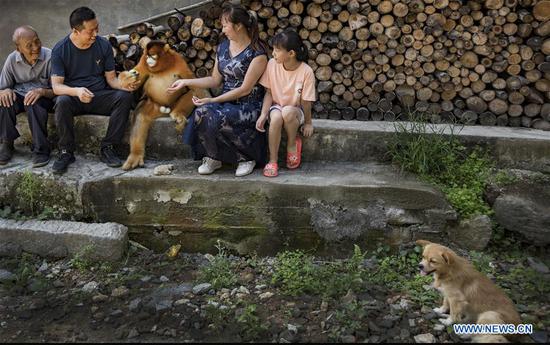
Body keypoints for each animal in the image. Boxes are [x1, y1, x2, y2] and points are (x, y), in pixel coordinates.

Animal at [118, 41, 209, 170]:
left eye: (152, 55)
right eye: (147, 56)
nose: (148, 59)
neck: (163, 67)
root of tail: (165, 109)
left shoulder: (178, 60)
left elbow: (192, 83)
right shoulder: (143, 62)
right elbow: (136, 79)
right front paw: (128, 79)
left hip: (172, 105)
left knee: (192, 93)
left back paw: (178, 114)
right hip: (153, 104)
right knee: (140, 117)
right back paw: (135, 155)